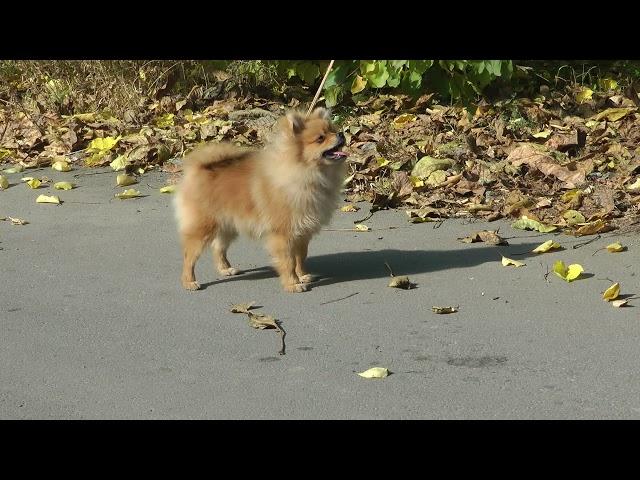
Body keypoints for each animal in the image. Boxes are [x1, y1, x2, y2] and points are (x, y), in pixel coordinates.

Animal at [172, 108, 348, 292]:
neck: (306, 175)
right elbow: (288, 261)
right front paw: (293, 283)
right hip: (203, 228)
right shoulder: (283, 234)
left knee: (218, 247)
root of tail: (197, 169)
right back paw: (189, 281)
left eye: (333, 130)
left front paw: (303, 275)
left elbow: (301, 257)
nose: (341, 134)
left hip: (227, 226)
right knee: (189, 255)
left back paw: (226, 269)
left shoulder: (302, 231)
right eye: (320, 138)